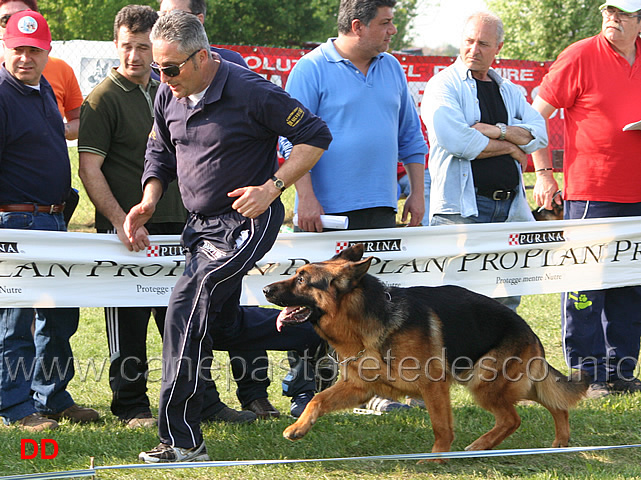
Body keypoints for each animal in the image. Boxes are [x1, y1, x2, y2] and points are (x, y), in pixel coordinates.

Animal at [262, 244, 588, 458]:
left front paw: (436, 458)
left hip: (484, 383)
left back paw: (479, 447)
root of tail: (527, 329)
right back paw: (560, 442)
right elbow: (317, 399)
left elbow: (440, 426)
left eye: (301, 279)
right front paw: (298, 428)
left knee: (514, 418)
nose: (265, 289)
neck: (365, 321)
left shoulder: (433, 387)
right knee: (556, 403)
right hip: (506, 382)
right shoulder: (358, 387)